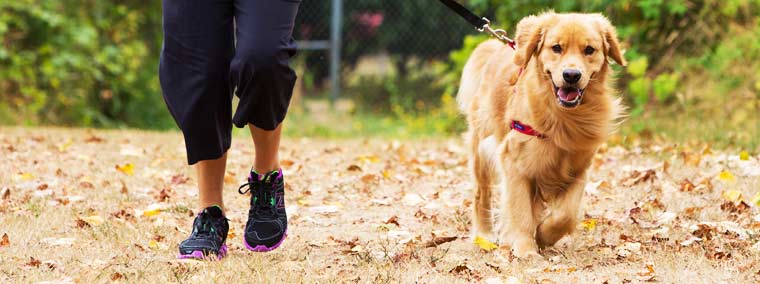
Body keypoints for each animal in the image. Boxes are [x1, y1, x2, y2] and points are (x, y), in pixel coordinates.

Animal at [454, 12, 628, 258]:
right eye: (556, 48)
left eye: (589, 50)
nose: (571, 75)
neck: (562, 118)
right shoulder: (514, 162)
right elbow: (521, 212)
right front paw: (526, 250)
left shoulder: (577, 169)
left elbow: (566, 215)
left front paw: (544, 236)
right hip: (482, 147)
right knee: (481, 193)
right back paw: (484, 234)